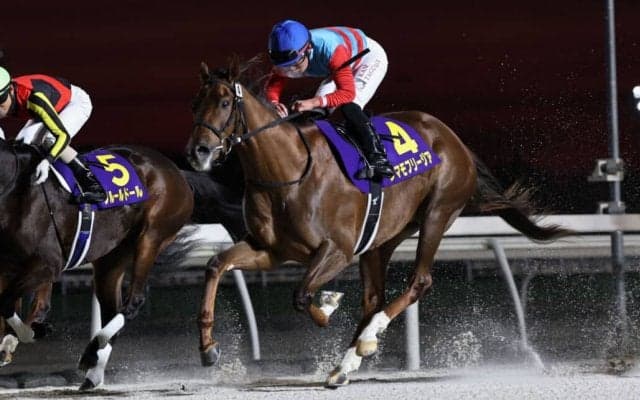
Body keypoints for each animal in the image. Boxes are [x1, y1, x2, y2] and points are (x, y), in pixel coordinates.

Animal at [0, 140, 193, 390]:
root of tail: (176, 171)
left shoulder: (48, 264)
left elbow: (7, 304)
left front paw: (30, 333)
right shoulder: (9, 266)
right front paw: (18, 338)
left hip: (153, 234)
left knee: (134, 301)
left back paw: (92, 351)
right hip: (110, 258)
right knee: (112, 309)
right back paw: (93, 372)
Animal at [185, 57, 572, 386]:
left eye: (224, 103)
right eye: (196, 103)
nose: (197, 151)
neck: (288, 171)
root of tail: (454, 140)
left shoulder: (337, 250)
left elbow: (301, 294)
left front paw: (328, 305)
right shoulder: (270, 250)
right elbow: (216, 265)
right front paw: (208, 348)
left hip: (437, 213)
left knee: (419, 282)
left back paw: (367, 340)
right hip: (382, 238)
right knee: (374, 297)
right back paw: (345, 365)